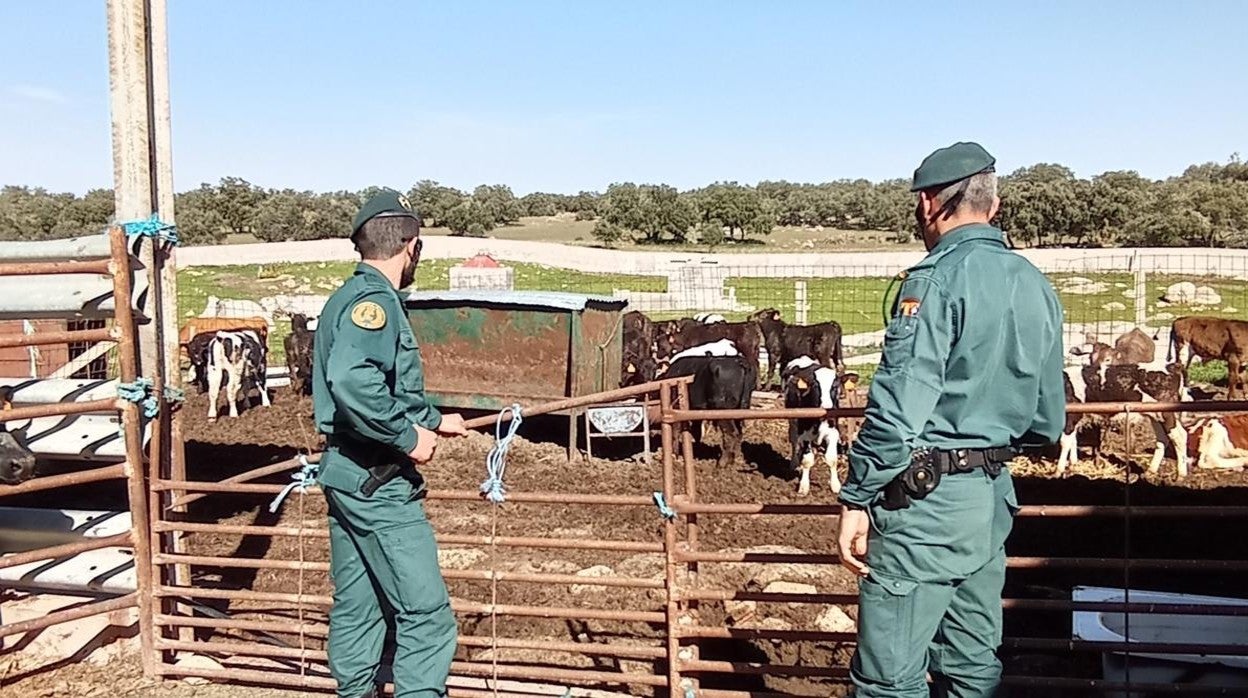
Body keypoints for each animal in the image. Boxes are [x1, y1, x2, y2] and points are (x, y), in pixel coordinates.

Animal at [783, 359, 843, 496]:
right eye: (816, 386)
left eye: (834, 387)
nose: (827, 407)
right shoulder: (804, 435)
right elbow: (807, 460)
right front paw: (804, 487)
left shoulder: (833, 432)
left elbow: (832, 459)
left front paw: (835, 485)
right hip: (793, 422)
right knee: (794, 442)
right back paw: (794, 464)